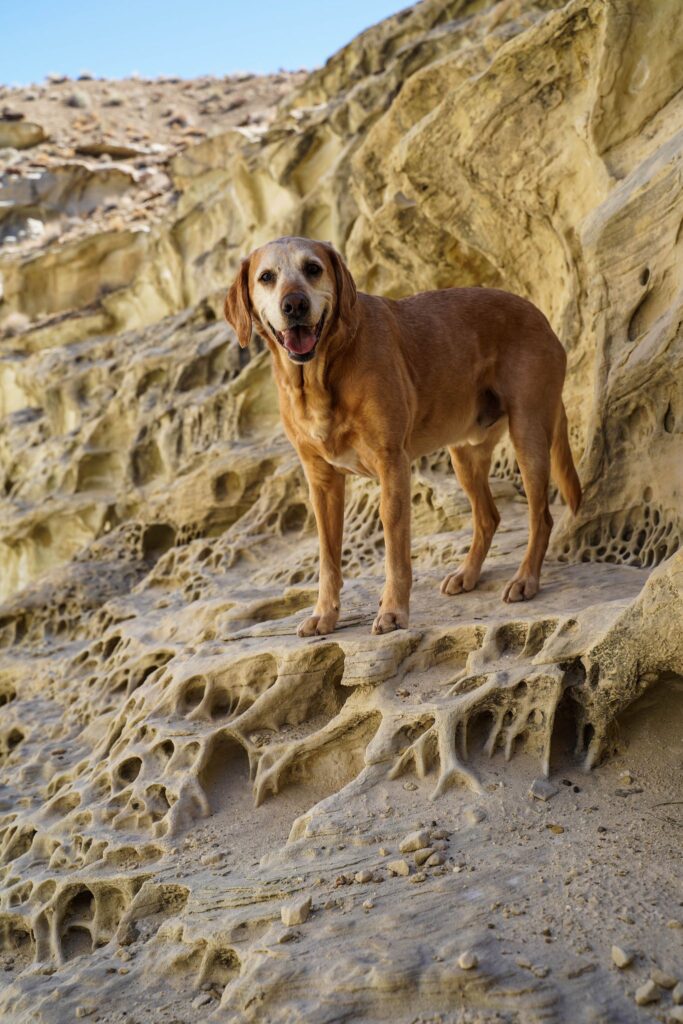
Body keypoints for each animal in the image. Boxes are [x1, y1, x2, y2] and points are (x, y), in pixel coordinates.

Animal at [225, 240, 581, 638]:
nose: (295, 305)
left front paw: (394, 610)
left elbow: (395, 549)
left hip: (528, 434)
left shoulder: (391, 464)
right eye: (266, 277)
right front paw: (325, 614)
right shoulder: (322, 481)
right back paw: (468, 573)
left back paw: (525, 579)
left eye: (313, 269)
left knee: (541, 517)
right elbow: (328, 558)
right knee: (488, 516)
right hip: (465, 454)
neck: (321, 375)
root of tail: (539, 315)